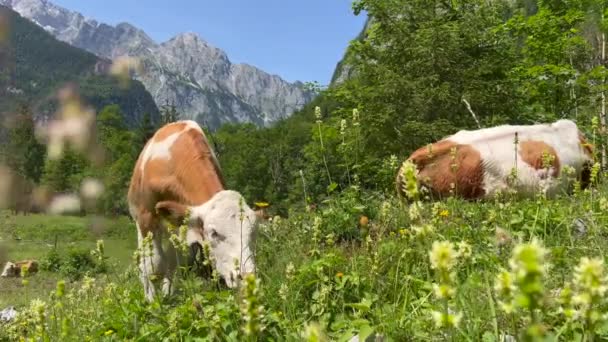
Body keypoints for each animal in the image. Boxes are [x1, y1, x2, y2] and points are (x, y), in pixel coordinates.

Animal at [129, 120, 258, 302]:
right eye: (214, 233)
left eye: (253, 232)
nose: (246, 277)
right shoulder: (146, 216)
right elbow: (152, 265)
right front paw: (152, 302)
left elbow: (174, 262)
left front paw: (166, 294)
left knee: (173, 260)